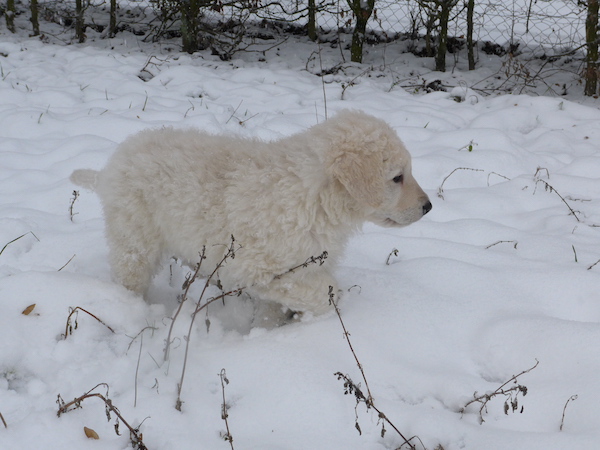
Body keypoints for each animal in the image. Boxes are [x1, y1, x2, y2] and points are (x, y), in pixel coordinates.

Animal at [72, 110, 432, 316]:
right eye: (397, 177)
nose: (428, 207)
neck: (315, 194)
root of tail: (108, 169)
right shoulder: (259, 268)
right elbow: (321, 291)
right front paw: (330, 299)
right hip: (134, 239)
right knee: (130, 274)